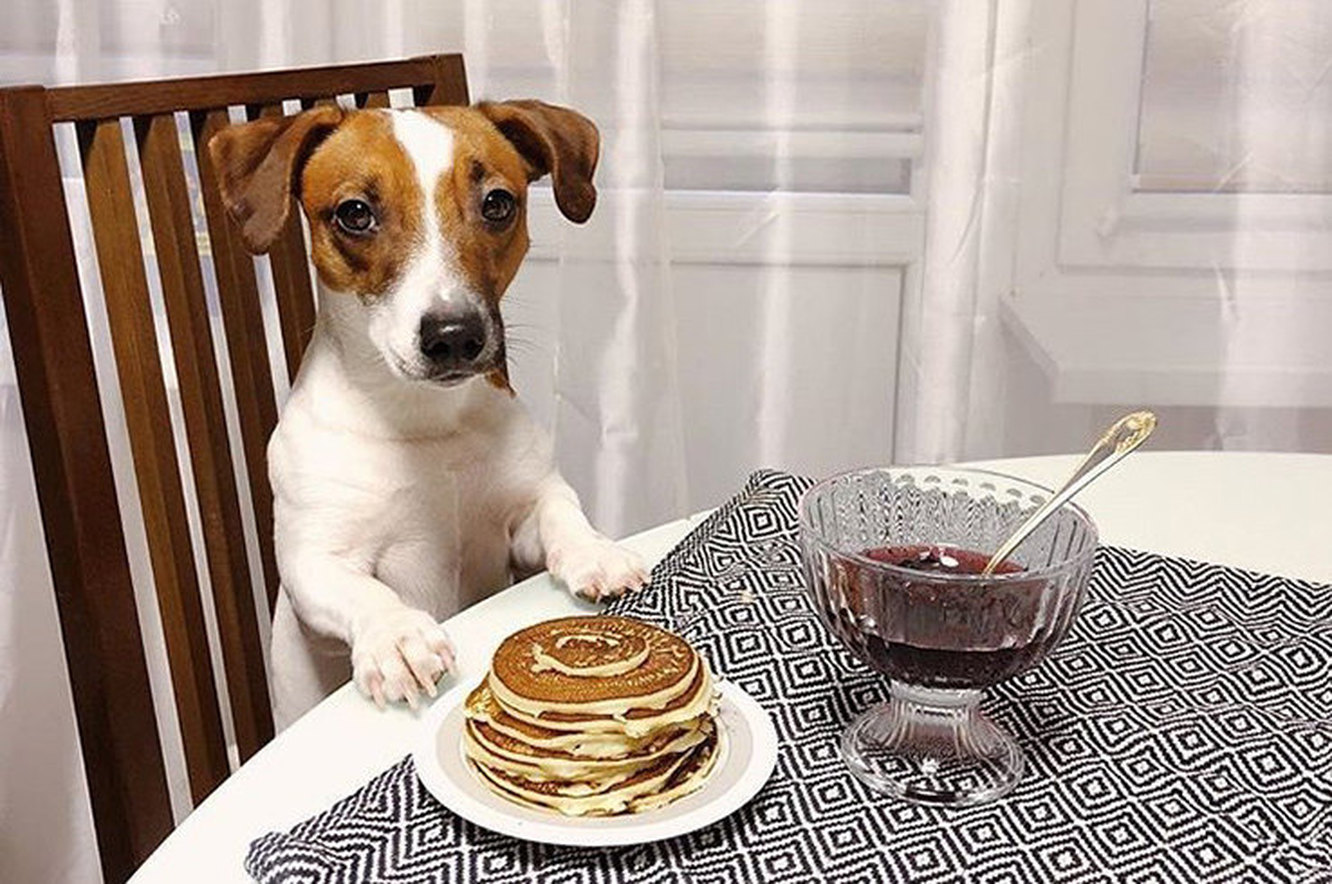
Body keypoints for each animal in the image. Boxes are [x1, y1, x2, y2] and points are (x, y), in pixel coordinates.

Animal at [211, 99, 650, 729]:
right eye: (354, 213)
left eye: (497, 203)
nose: (454, 336)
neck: (424, 422)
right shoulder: (313, 562)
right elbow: (365, 592)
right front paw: (397, 636)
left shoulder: (521, 515)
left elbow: (561, 513)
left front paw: (594, 550)